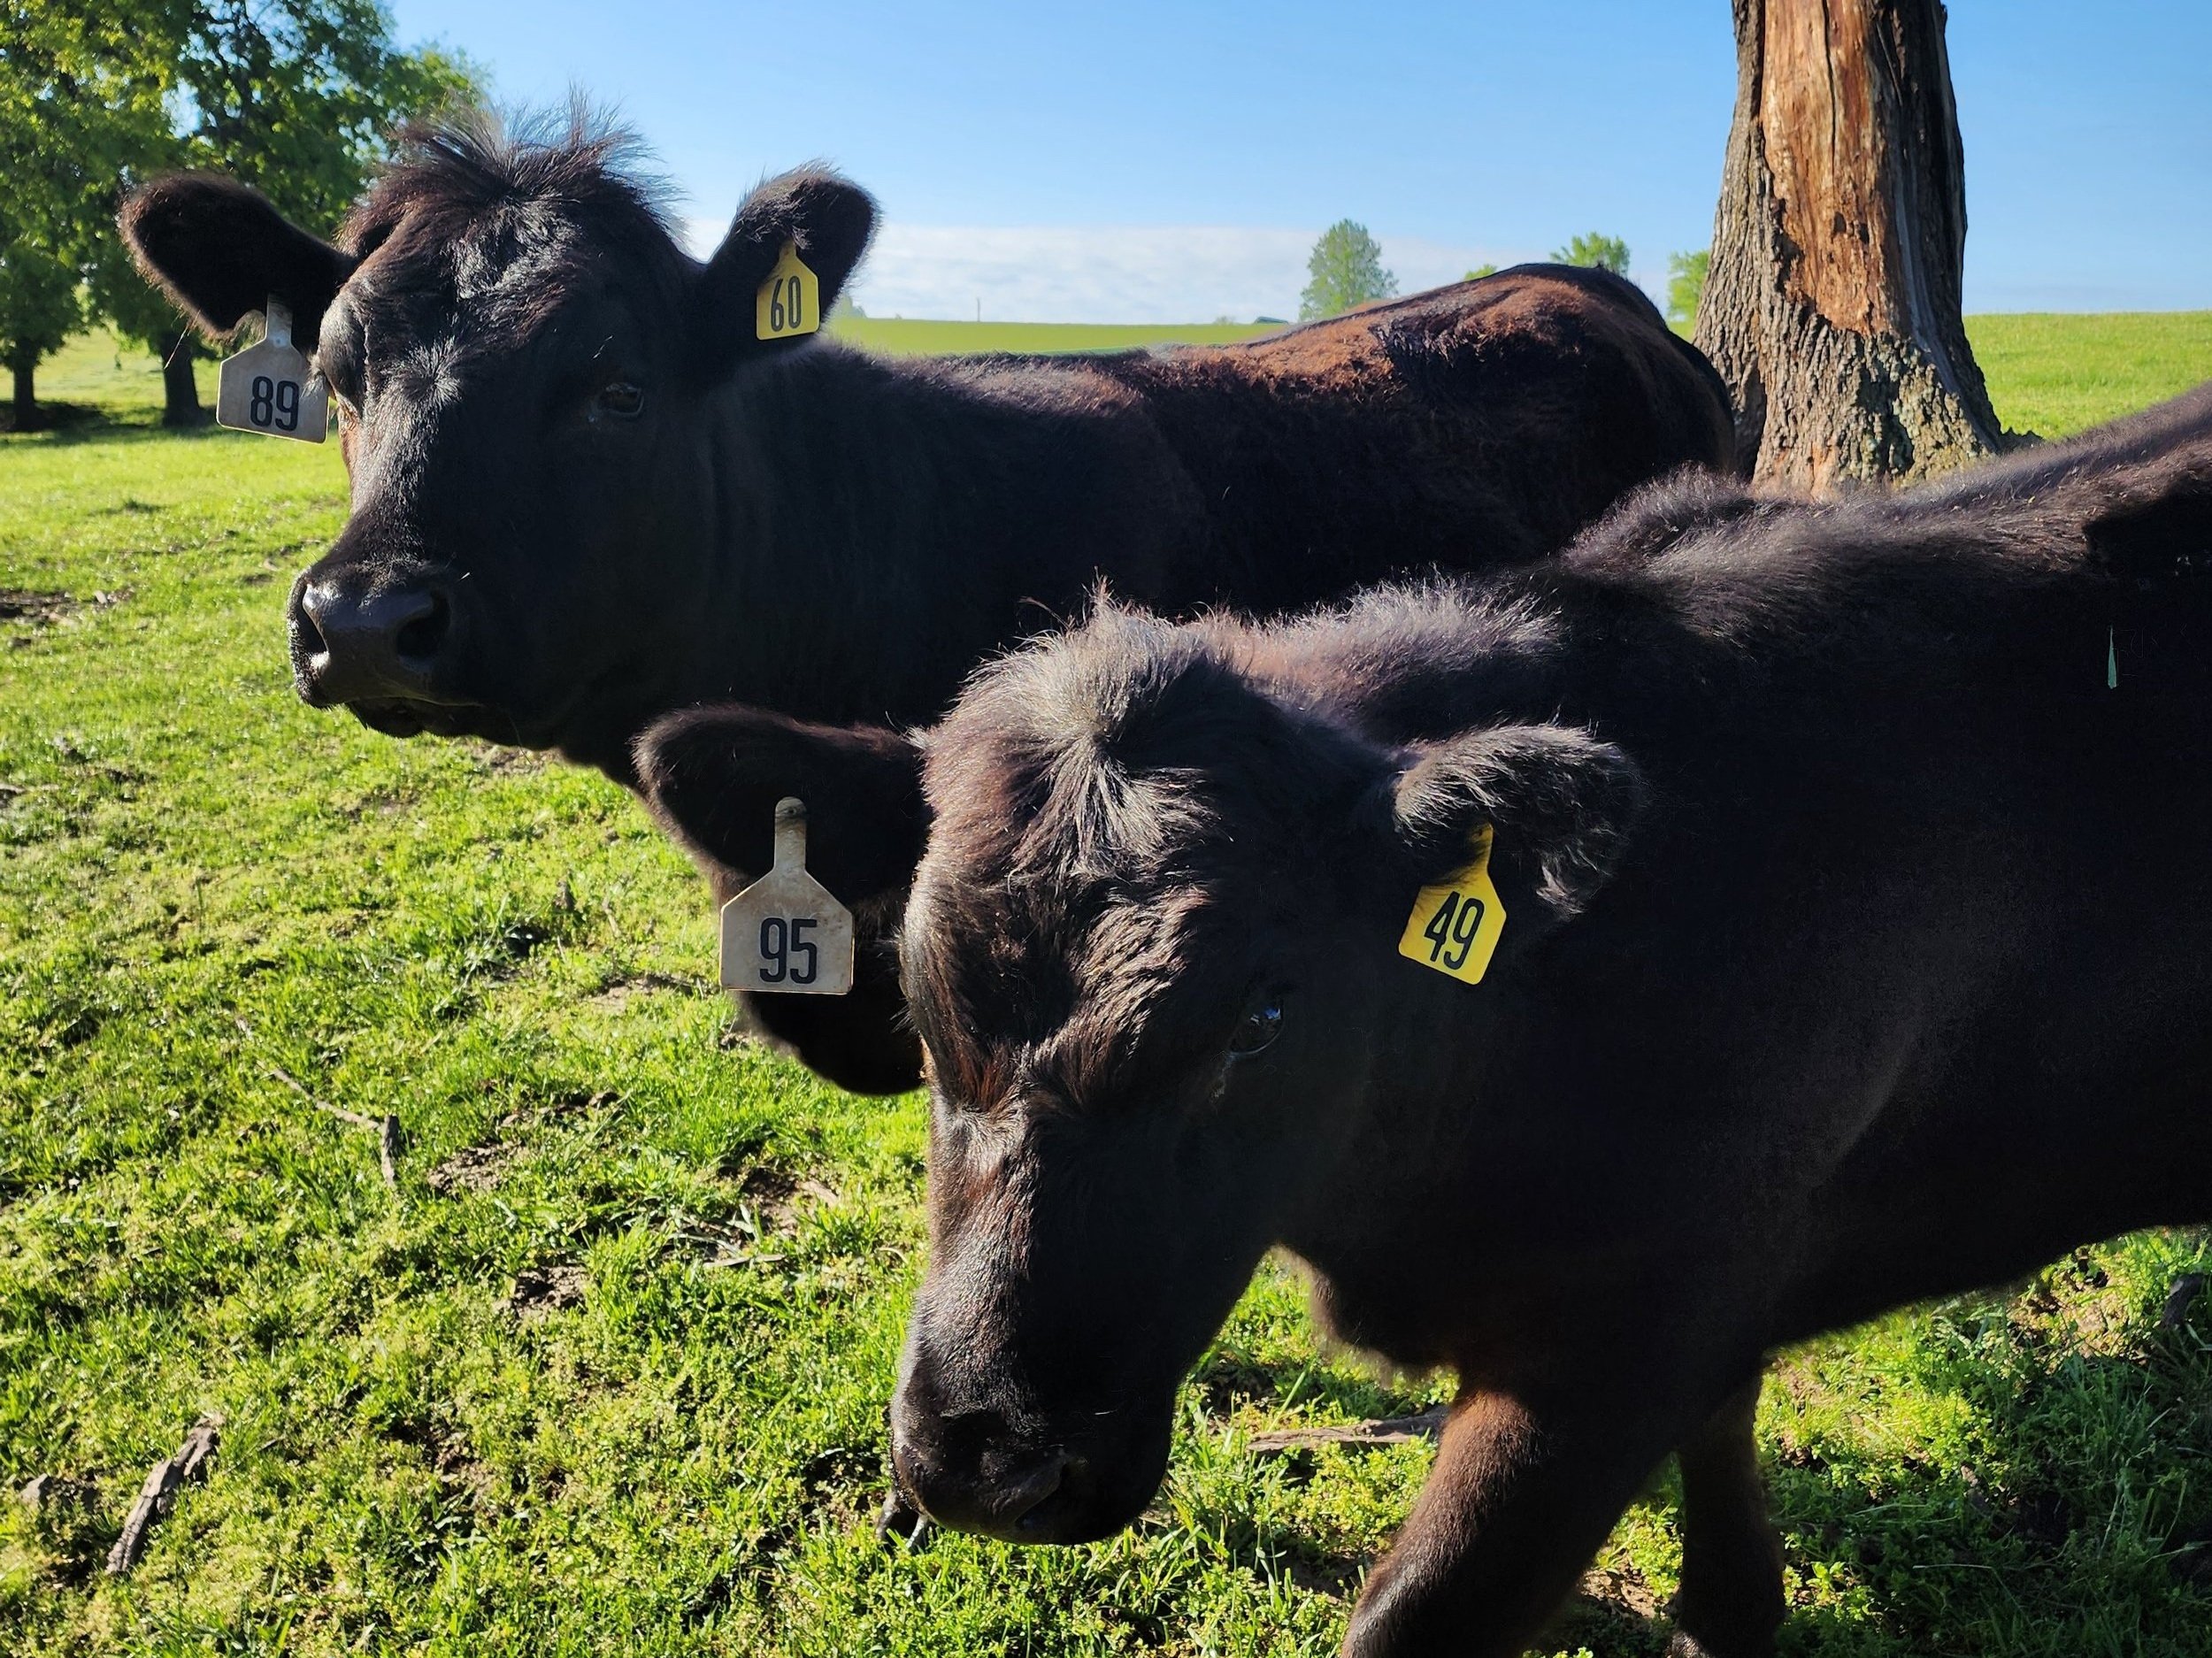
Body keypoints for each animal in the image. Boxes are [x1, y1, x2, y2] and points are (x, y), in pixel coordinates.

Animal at [638, 381, 2212, 1655]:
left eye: (1264, 1013)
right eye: (913, 990)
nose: (987, 1457)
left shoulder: (1617, 1340)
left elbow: (1418, 1614)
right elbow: (1725, 1432)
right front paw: (1734, 1608)